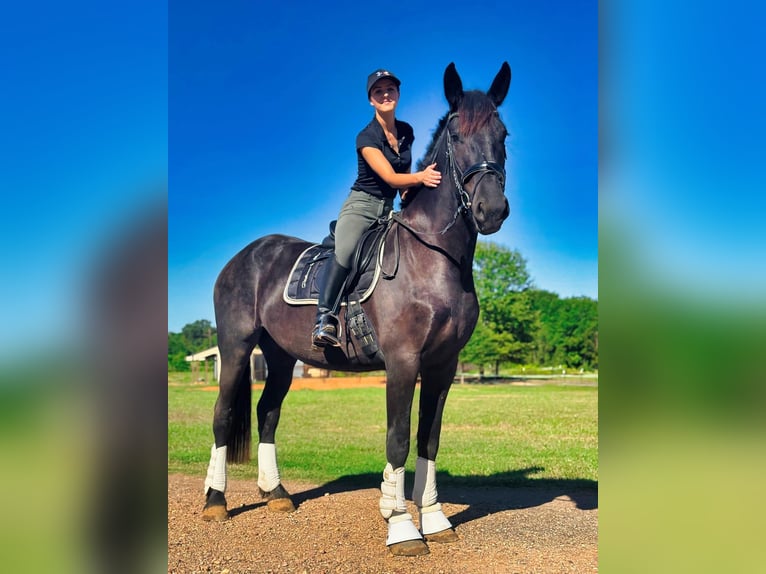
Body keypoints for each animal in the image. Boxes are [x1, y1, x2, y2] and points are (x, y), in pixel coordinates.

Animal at [201, 62, 512, 557]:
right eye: (456, 134)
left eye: (503, 134)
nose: (491, 209)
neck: (434, 257)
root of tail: (245, 255)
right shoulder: (403, 361)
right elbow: (398, 438)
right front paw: (401, 526)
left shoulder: (443, 365)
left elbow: (429, 438)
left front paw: (435, 519)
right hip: (235, 348)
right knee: (223, 414)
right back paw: (216, 502)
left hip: (280, 356)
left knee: (267, 414)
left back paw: (277, 494)